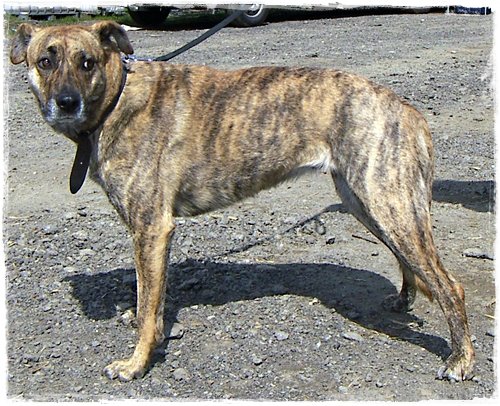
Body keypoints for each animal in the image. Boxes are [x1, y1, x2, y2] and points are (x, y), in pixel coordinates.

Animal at [10, 21, 475, 382]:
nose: (66, 103)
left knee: (450, 286)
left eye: (86, 62)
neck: (118, 97)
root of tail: (408, 110)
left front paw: (136, 363)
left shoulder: (152, 228)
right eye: (45, 61)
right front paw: (140, 317)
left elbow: (148, 308)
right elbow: (147, 298)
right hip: (369, 202)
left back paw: (460, 360)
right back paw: (405, 299)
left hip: (387, 203)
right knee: (411, 264)